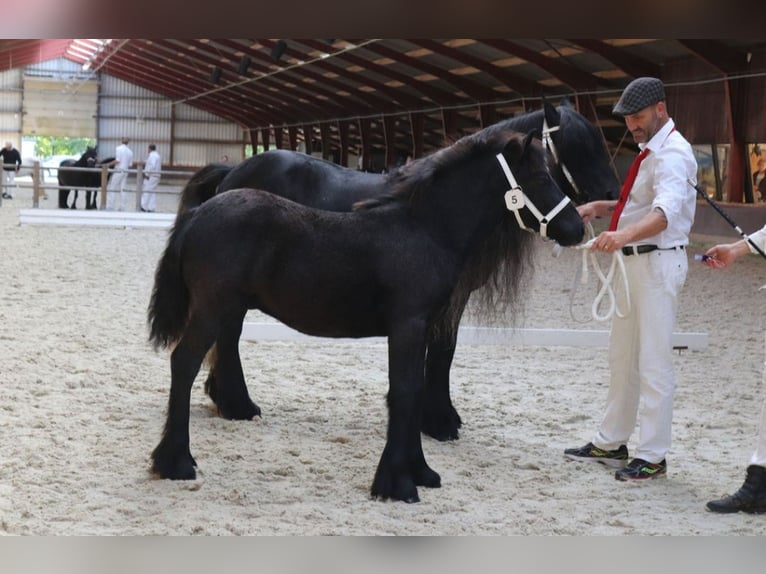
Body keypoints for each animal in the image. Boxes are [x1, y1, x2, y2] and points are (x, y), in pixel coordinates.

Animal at [147, 128, 584, 502]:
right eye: (540, 177)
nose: (577, 229)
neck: (425, 230)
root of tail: (200, 213)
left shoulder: (422, 328)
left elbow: (413, 390)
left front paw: (421, 472)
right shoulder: (407, 325)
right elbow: (404, 392)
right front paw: (397, 483)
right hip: (211, 308)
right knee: (184, 362)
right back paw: (176, 461)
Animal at [172, 99, 616, 444]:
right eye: (575, 148)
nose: (611, 197)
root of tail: (232, 173)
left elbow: (443, 353)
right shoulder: (443, 302)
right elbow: (442, 353)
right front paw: (438, 422)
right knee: (228, 336)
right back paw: (237, 404)